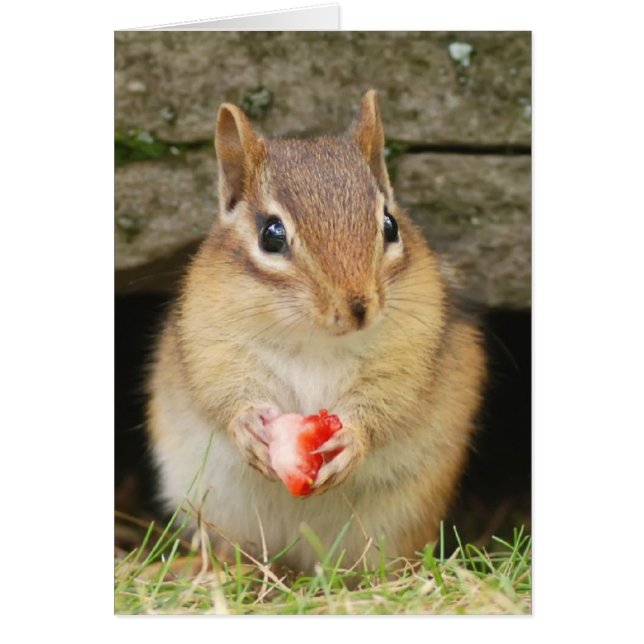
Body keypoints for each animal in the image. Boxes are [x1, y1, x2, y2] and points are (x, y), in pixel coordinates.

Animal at [146, 90, 486, 573]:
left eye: (390, 225)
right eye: (271, 235)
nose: (358, 308)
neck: (315, 343)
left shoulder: (410, 350)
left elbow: (390, 402)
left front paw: (351, 440)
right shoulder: (211, 342)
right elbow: (221, 389)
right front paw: (246, 424)